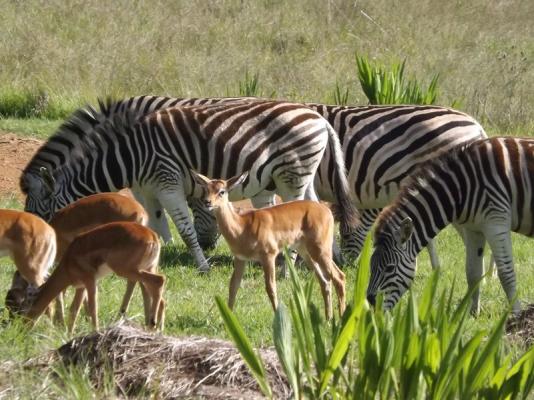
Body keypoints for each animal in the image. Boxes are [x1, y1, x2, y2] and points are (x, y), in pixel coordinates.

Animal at [23, 100, 362, 272]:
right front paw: (152, 255)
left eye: (43, 213)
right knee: (316, 208)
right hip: (300, 173)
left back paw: (287, 266)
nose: (43, 259)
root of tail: (319, 119)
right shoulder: (148, 188)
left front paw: (202, 266)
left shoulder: (167, 180)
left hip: (292, 174)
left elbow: (185, 229)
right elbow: (154, 222)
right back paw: (320, 259)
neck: (129, 156)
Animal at [368, 138, 534, 316]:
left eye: (389, 268)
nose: (370, 302)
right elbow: (473, 273)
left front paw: (515, 314)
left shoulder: (496, 221)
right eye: (370, 266)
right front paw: (472, 314)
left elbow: (506, 273)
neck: (462, 186)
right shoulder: (474, 228)